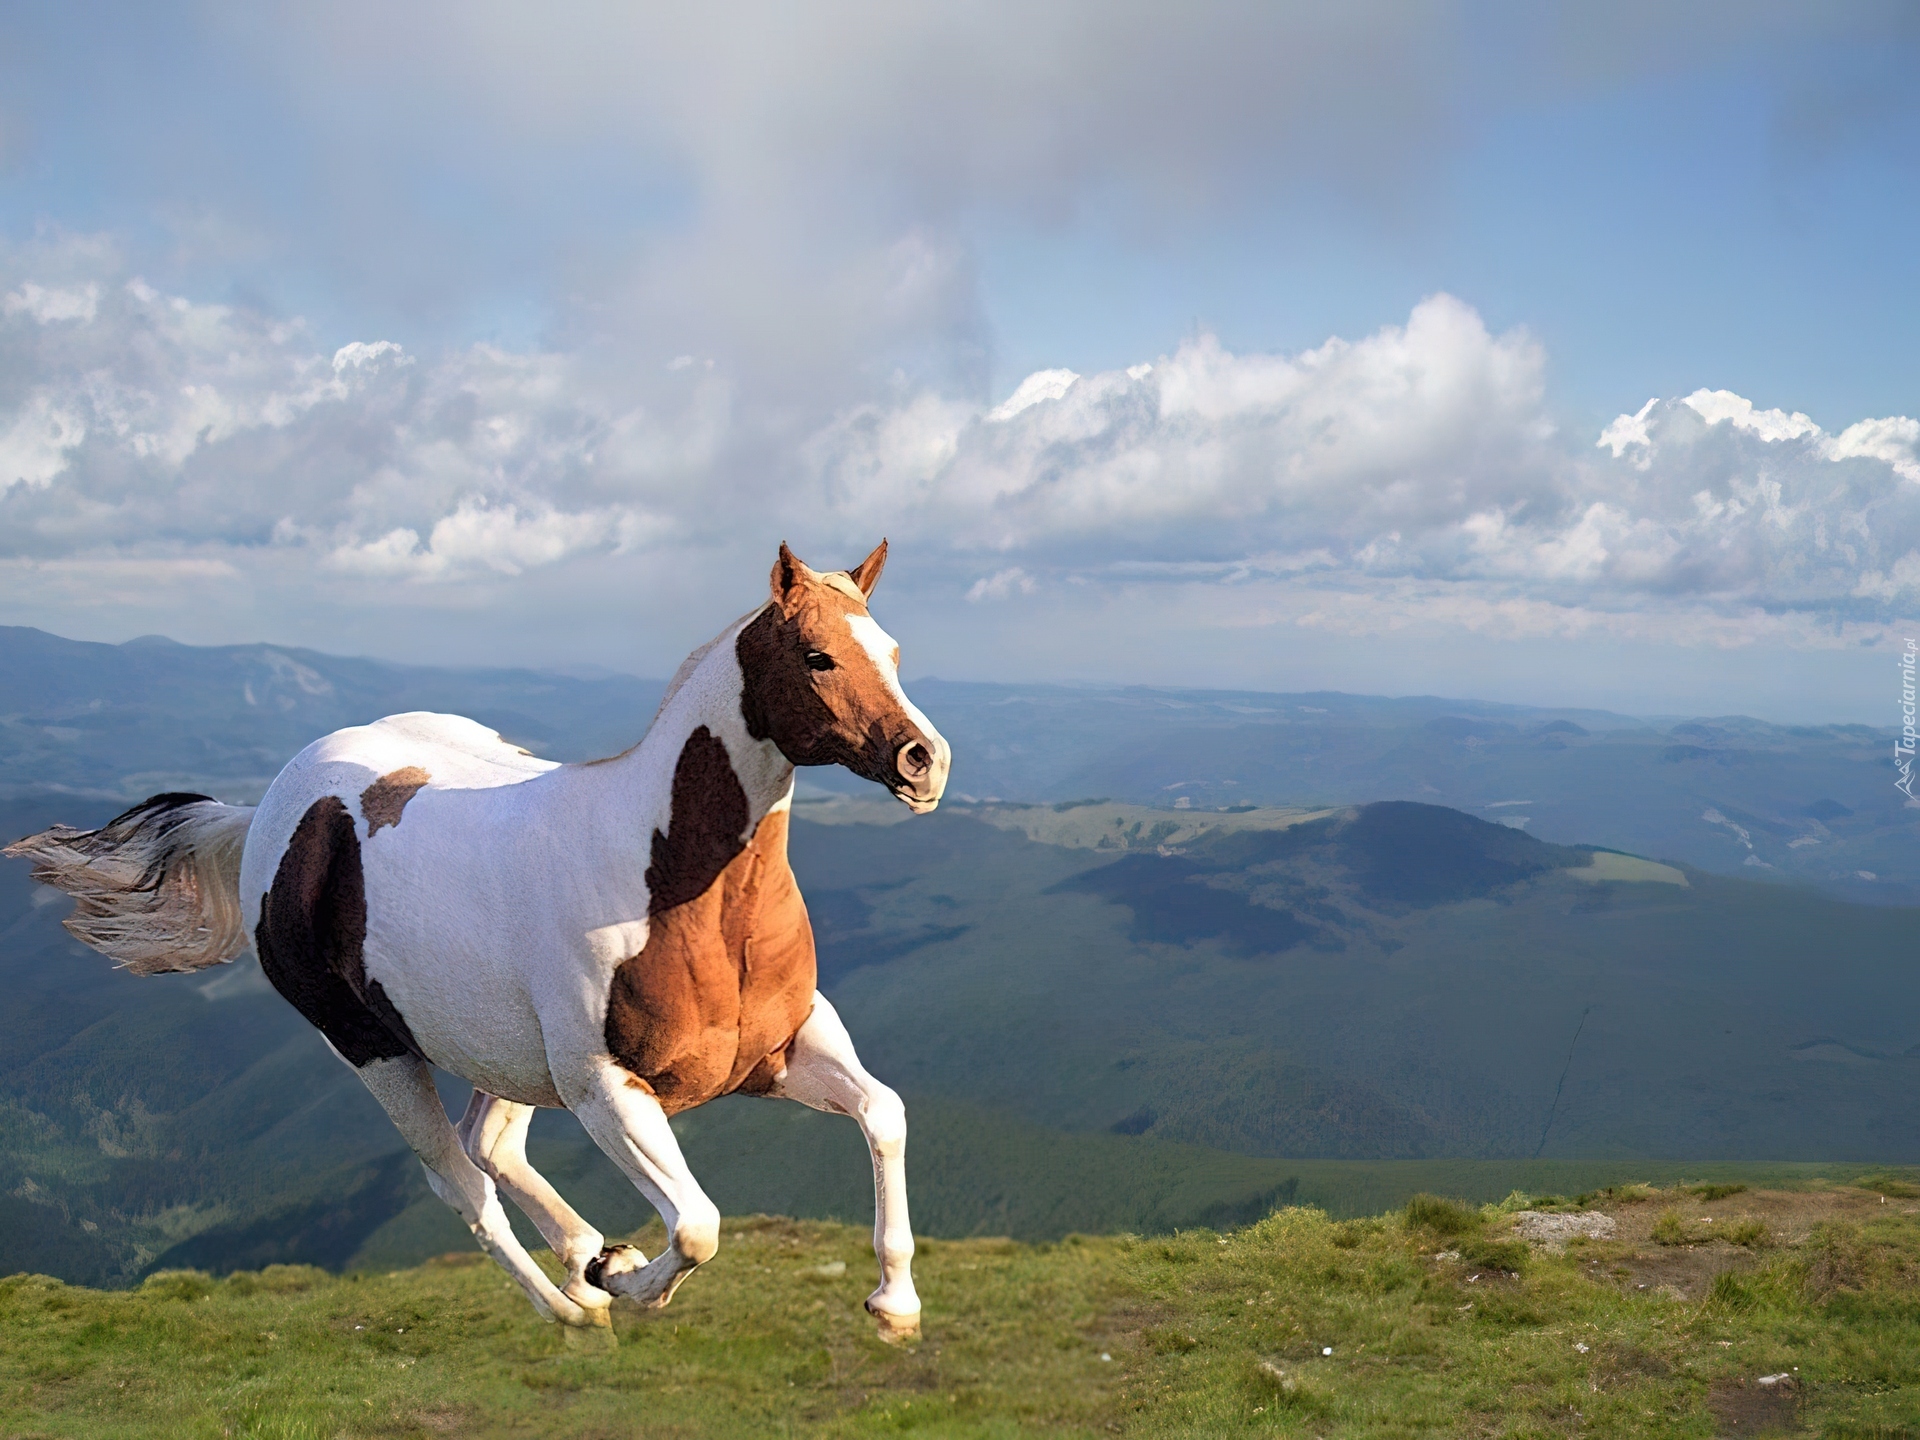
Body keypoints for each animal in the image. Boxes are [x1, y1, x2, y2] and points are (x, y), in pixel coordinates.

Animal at [5, 541, 952, 1344]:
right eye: (818, 656)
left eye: (894, 651)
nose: (924, 761)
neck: (670, 883)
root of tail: (271, 809)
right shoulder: (608, 1090)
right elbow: (698, 1226)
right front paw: (624, 1283)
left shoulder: (786, 1045)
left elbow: (886, 1114)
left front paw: (894, 1305)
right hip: (376, 1049)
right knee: (460, 1181)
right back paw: (576, 1307)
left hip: (503, 1055)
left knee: (488, 1147)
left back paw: (587, 1258)